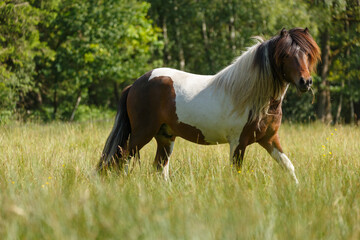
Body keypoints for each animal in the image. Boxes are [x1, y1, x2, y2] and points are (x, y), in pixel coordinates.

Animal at [97, 27, 320, 184]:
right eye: (285, 55)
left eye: (307, 54)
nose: (305, 82)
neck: (253, 98)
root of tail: (135, 84)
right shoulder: (238, 143)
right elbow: (236, 173)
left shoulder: (269, 139)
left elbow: (288, 166)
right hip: (142, 134)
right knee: (120, 159)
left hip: (165, 137)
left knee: (159, 168)